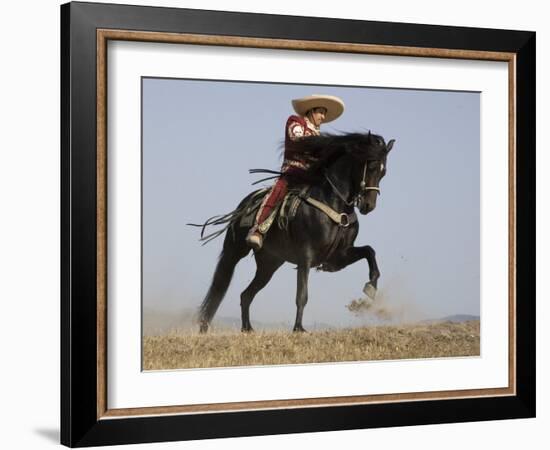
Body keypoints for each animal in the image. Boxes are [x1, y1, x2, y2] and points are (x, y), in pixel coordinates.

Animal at [192, 132, 394, 332]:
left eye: (384, 172)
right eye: (372, 166)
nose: (368, 206)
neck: (334, 205)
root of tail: (244, 205)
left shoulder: (340, 256)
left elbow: (369, 251)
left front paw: (371, 286)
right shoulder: (306, 256)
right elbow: (302, 295)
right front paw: (298, 328)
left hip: (269, 264)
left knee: (246, 295)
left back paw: (247, 329)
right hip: (235, 251)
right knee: (221, 285)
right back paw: (207, 326)